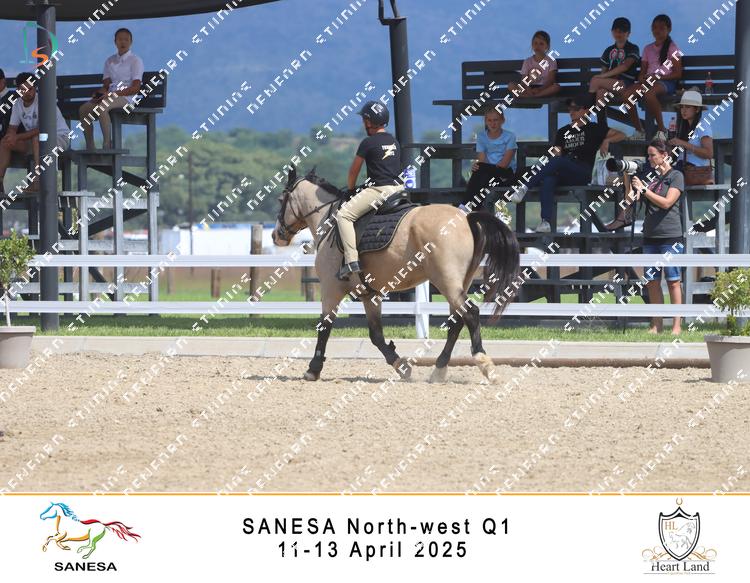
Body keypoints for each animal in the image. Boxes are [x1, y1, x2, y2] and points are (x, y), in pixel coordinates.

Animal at [271, 167, 521, 383]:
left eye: (281, 200)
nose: (276, 235)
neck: (330, 220)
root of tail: (465, 219)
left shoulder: (332, 289)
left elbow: (324, 327)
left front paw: (313, 369)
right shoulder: (369, 294)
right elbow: (376, 335)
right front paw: (401, 366)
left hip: (447, 282)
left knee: (470, 314)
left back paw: (484, 362)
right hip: (459, 283)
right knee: (457, 321)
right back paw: (439, 370)